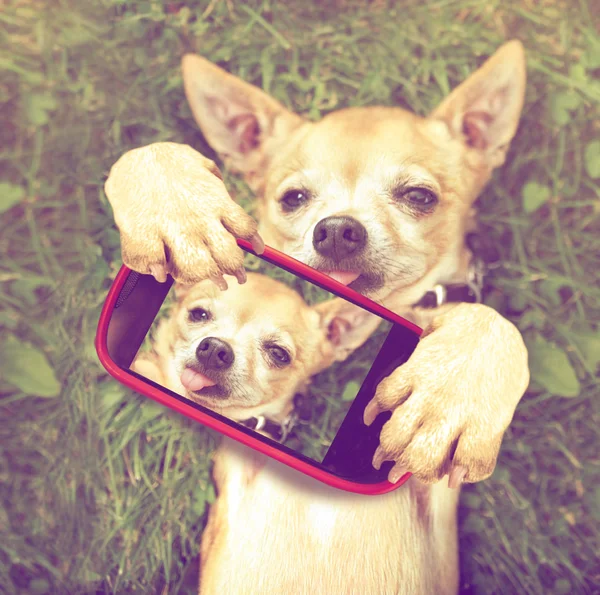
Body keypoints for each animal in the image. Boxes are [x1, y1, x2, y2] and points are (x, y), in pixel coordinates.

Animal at [104, 39, 528, 592]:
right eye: (294, 198)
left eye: (418, 196)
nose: (337, 230)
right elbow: (145, 154)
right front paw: (175, 201)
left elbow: (496, 323)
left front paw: (449, 397)